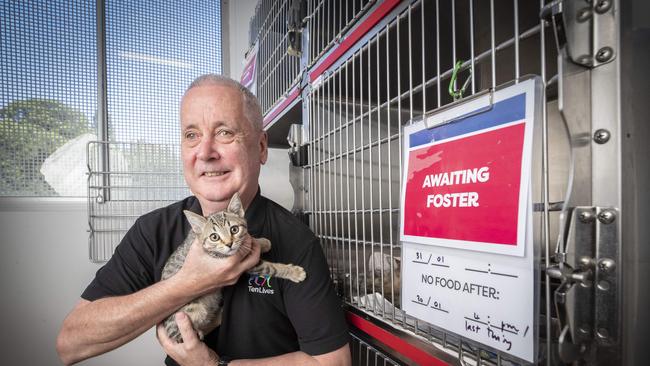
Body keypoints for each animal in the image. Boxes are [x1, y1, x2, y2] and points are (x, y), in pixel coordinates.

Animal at [161, 193, 306, 342]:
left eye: (234, 229)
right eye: (214, 237)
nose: (229, 244)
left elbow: (249, 243)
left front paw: (262, 243)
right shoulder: (244, 264)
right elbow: (270, 268)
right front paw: (293, 272)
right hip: (193, 311)